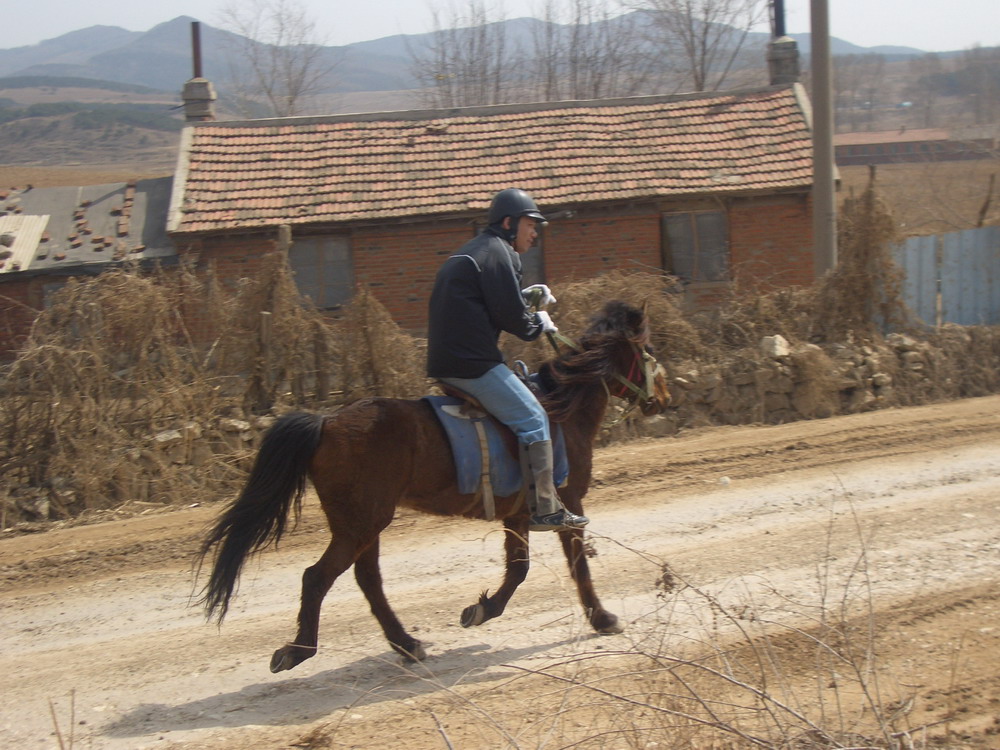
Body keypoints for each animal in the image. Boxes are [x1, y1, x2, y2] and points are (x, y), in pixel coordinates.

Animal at [198, 300, 668, 676]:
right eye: (647, 352)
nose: (662, 399)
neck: (561, 409)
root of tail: (326, 421)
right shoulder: (567, 504)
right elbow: (577, 566)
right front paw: (603, 618)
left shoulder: (518, 514)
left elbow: (518, 569)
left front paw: (481, 609)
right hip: (360, 524)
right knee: (317, 577)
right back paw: (298, 650)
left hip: (363, 524)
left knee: (368, 580)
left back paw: (407, 644)